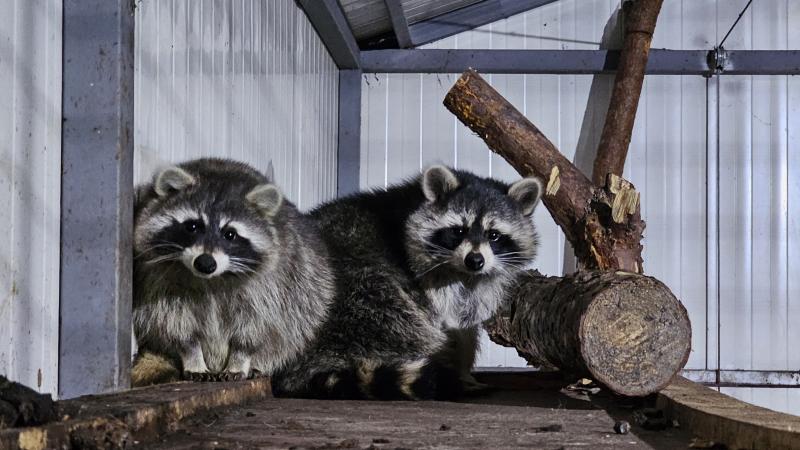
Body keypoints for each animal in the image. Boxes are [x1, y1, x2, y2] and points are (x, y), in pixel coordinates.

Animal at [130, 158, 332, 386]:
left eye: (230, 234)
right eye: (192, 226)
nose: (205, 263)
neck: (212, 279)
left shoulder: (272, 286)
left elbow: (256, 328)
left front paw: (240, 360)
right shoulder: (159, 280)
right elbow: (177, 325)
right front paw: (193, 357)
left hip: (308, 284)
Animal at [272, 166, 540, 400]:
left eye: (493, 235)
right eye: (458, 231)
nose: (475, 260)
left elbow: (464, 328)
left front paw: (464, 370)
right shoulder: (421, 277)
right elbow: (446, 324)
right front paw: (458, 370)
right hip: (353, 297)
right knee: (396, 312)